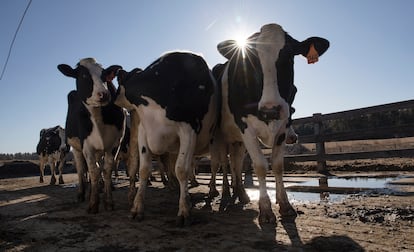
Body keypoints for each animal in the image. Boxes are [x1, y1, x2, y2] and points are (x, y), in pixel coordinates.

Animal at [56, 58, 125, 214]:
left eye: (105, 75)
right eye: (83, 76)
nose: (104, 94)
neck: (98, 117)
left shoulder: (114, 144)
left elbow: (106, 170)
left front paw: (108, 201)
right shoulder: (86, 145)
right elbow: (93, 171)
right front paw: (93, 203)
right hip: (76, 148)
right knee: (81, 169)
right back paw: (82, 194)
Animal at [113, 51, 217, 226]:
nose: (111, 97)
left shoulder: (189, 129)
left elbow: (181, 170)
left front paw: (184, 211)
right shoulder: (144, 131)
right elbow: (144, 170)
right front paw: (137, 207)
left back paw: (214, 190)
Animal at [213, 23, 330, 222]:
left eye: (289, 56)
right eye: (249, 59)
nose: (270, 109)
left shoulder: (282, 126)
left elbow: (277, 165)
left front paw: (285, 204)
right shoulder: (246, 128)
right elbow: (260, 165)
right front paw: (265, 209)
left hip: (237, 141)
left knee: (236, 162)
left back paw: (241, 193)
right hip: (221, 136)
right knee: (225, 163)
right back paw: (226, 192)